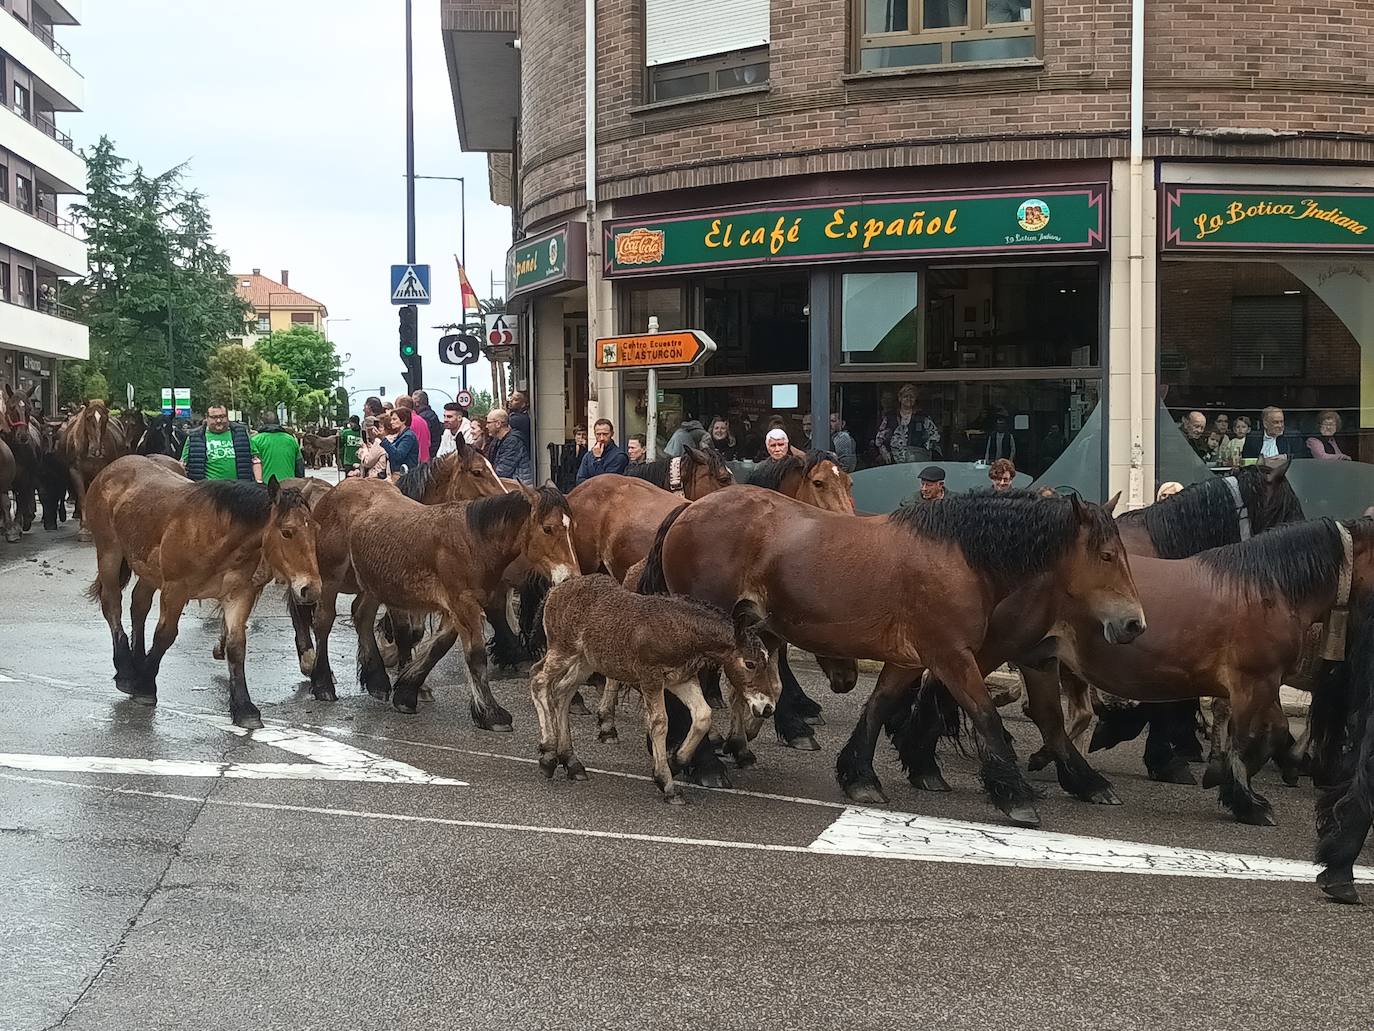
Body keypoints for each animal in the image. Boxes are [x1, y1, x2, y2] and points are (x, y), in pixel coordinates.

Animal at [59, 398, 129, 541]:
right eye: (88, 417)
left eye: (106, 419)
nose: (97, 450)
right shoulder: (75, 472)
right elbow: (83, 498)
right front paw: (85, 529)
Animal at [85, 456, 318, 731]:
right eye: (287, 532)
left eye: (315, 530)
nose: (311, 588)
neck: (218, 534)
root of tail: (113, 467)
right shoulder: (175, 590)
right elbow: (165, 636)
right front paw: (145, 687)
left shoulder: (239, 594)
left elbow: (236, 646)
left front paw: (244, 707)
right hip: (109, 554)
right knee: (113, 605)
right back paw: (126, 671)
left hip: (148, 571)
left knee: (138, 606)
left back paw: (137, 662)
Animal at [306, 478, 579, 725]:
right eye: (547, 528)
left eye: (571, 527)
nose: (570, 576)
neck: (473, 541)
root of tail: (336, 489)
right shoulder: (463, 604)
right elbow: (475, 655)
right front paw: (491, 713)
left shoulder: (458, 608)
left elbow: (439, 646)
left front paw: (407, 692)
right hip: (331, 578)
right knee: (323, 622)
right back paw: (323, 684)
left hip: (373, 581)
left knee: (362, 615)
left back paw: (377, 681)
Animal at [530, 577, 774, 802]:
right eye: (750, 663)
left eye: (767, 660)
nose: (768, 707)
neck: (683, 631)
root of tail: (555, 590)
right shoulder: (650, 678)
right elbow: (659, 722)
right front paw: (667, 784)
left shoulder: (682, 679)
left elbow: (703, 715)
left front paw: (676, 761)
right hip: (563, 649)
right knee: (539, 679)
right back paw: (549, 754)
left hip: (586, 661)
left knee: (563, 692)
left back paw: (572, 762)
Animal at [643, 489, 1148, 830]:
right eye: (1107, 555)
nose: (1134, 624)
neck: (958, 557)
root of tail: (691, 507)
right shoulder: (951, 656)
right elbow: (984, 713)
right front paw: (1016, 794)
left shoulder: (912, 659)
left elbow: (879, 705)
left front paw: (859, 774)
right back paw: (705, 763)